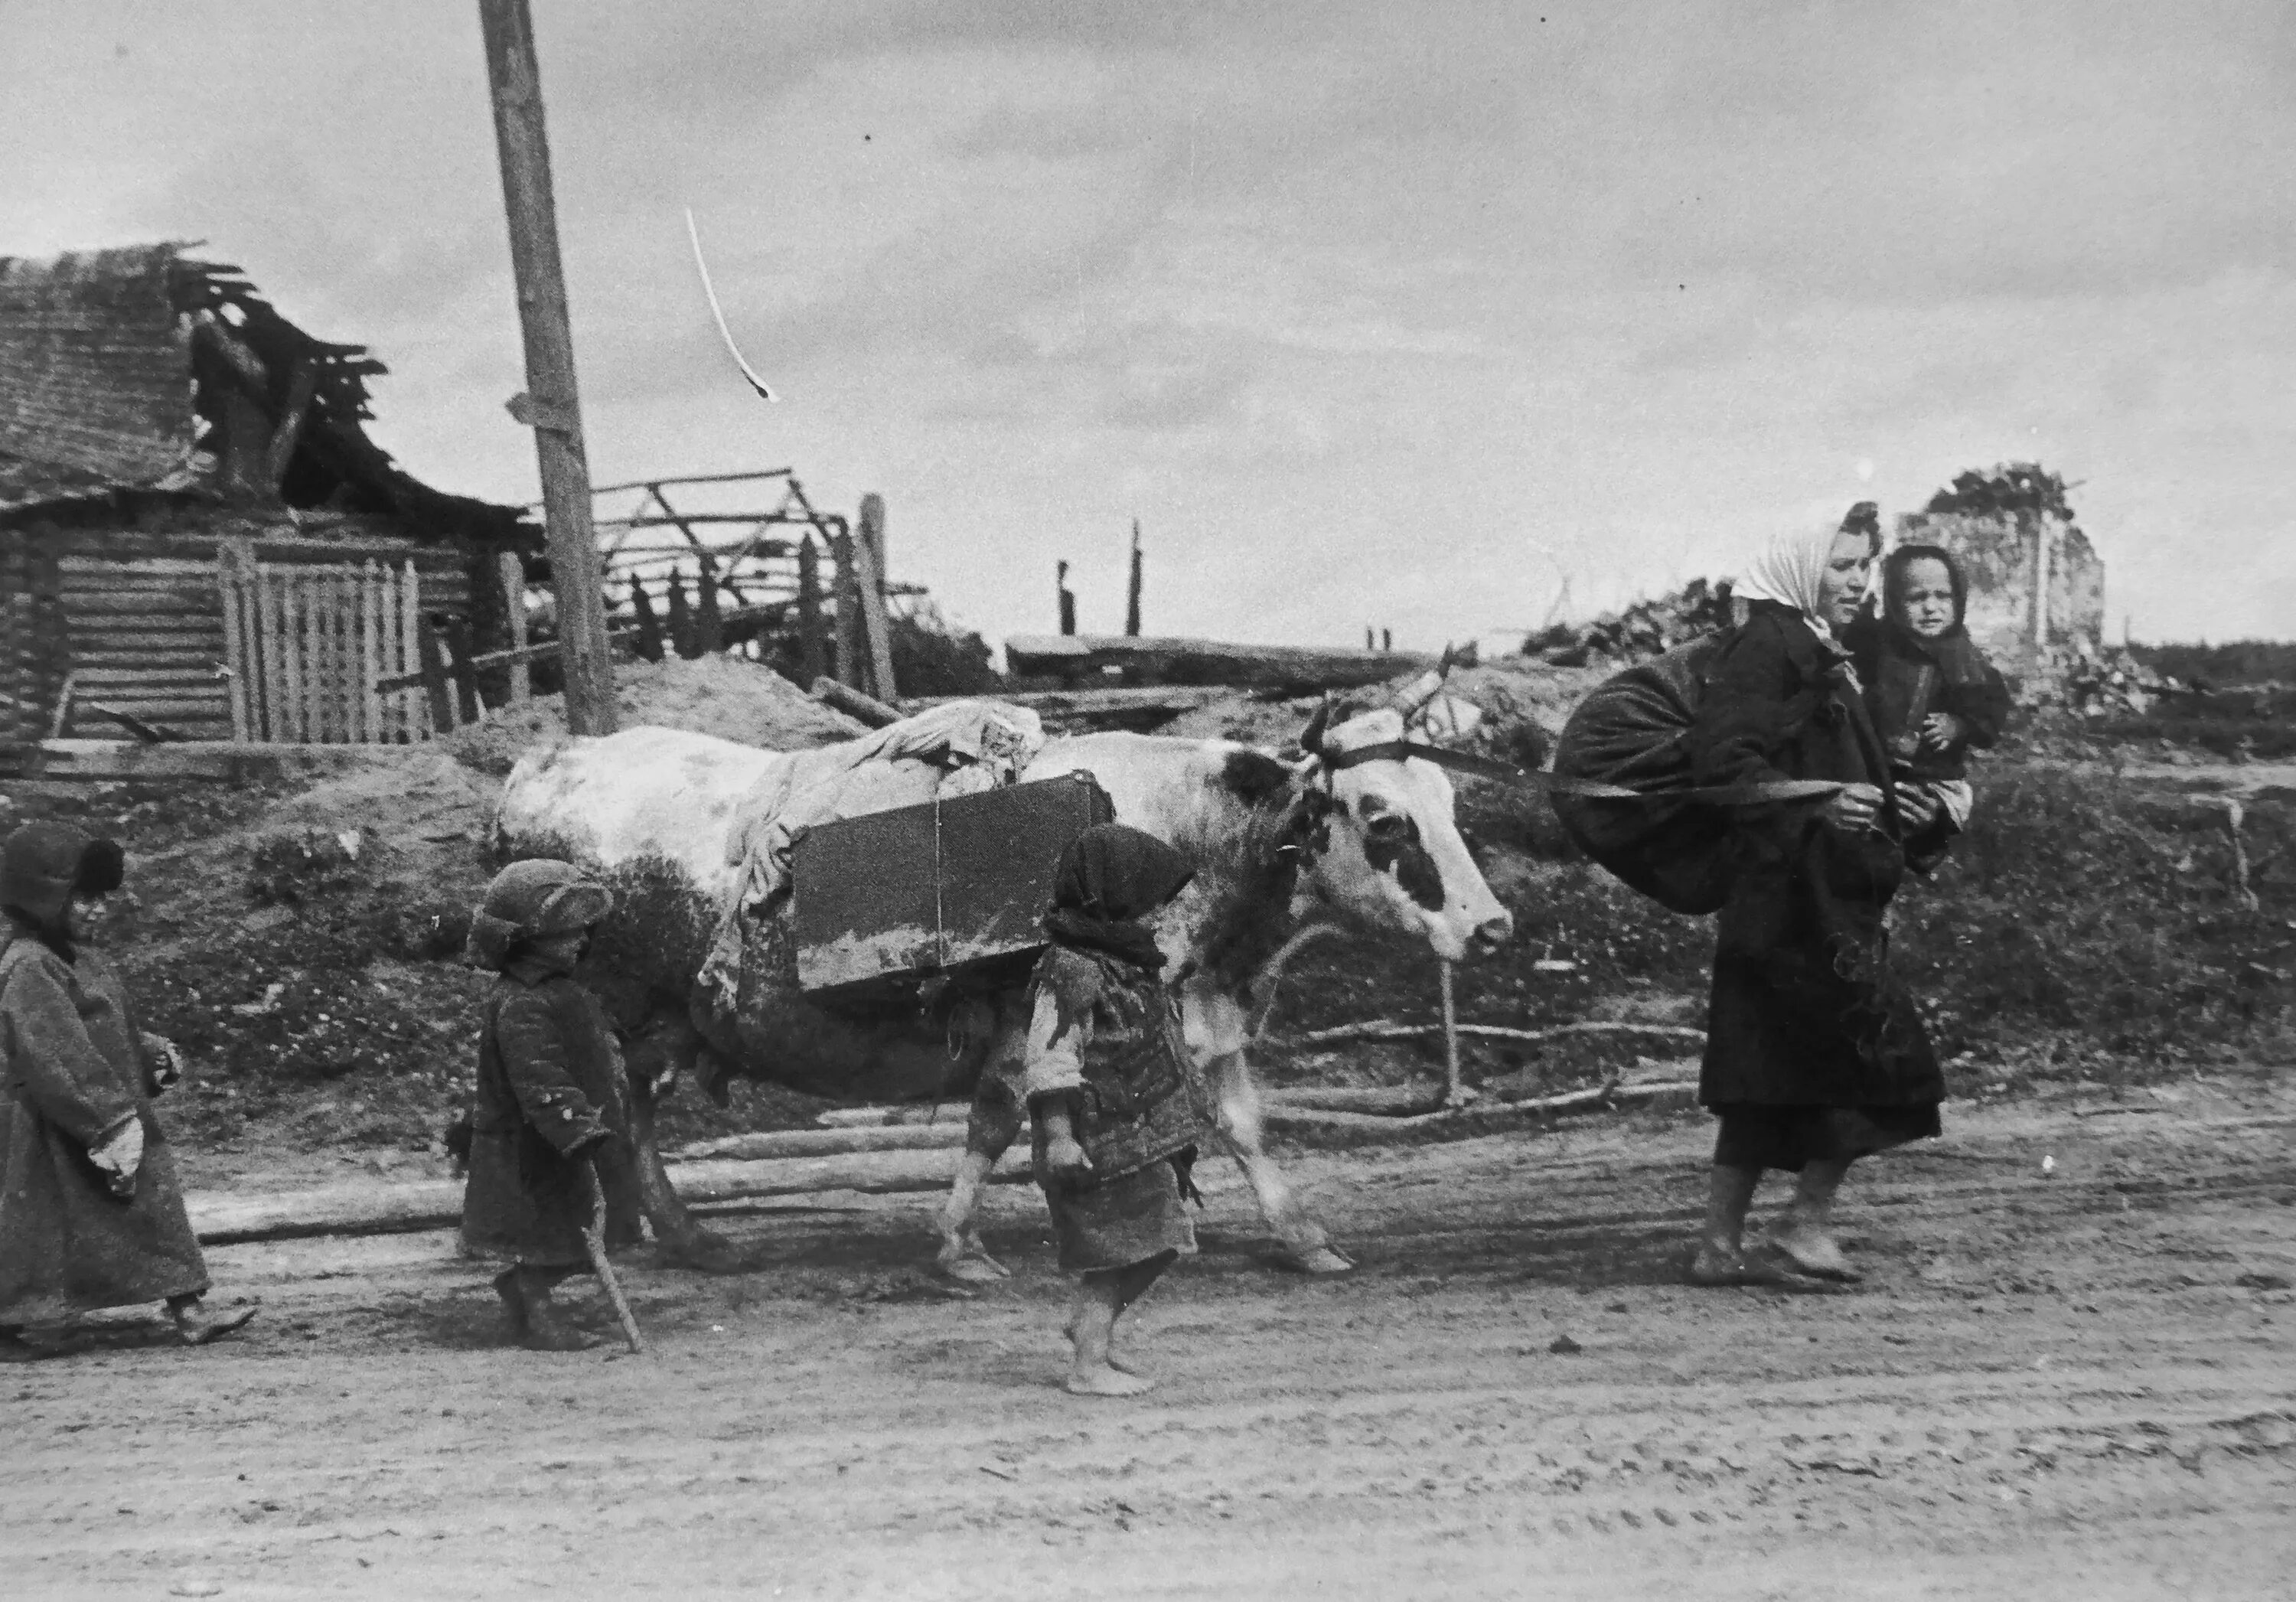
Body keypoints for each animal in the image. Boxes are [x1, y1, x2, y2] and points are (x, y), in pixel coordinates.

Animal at [494, 697, 1515, 1276]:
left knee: (633, 1110)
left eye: (1450, 803)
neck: (1180, 838)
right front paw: (961, 1246)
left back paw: (671, 1233)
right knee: (612, 1110)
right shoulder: (1034, 1015)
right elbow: (996, 1120)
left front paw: (1300, 1237)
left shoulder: (1202, 1008)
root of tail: (544, 766)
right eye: (1383, 817)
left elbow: (1235, 1123)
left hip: (668, 1023)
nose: (1493, 923)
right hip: (608, 1012)